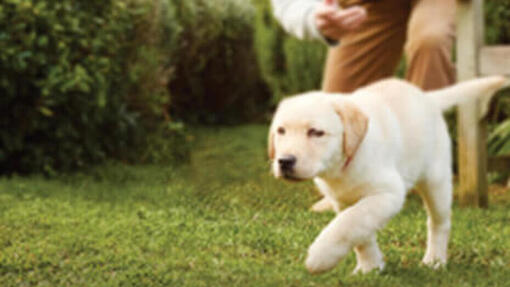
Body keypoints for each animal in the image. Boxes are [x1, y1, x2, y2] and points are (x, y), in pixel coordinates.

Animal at [266, 76, 506, 274]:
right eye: (281, 131)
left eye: (316, 132)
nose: (284, 161)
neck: (345, 163)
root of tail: (427, 98)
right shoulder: (343, 201)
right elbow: (359, 233)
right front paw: (370, 267)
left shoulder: (388, 193)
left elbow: (348, 223)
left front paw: (321, 257)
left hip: (436, 180)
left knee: (439, 222)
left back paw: (435, 260)